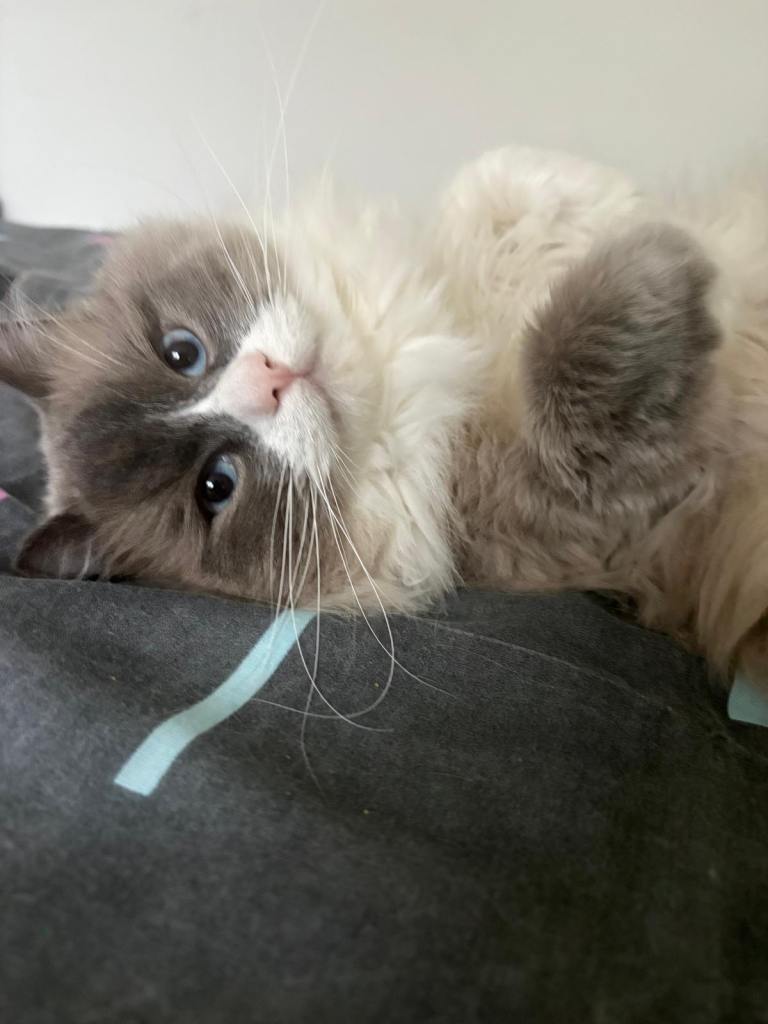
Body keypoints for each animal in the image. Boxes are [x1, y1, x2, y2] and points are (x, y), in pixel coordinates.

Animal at [2, 145, 768, 683]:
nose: (270, 384)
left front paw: (614, 208)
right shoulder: (553, 524)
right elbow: (576, 366)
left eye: (182, 353)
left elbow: (497, 177)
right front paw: (665, 258)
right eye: (217, 486)